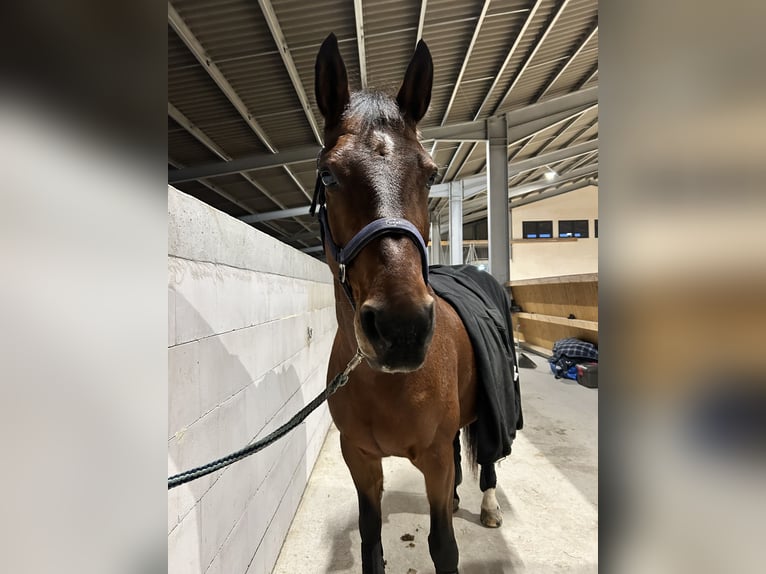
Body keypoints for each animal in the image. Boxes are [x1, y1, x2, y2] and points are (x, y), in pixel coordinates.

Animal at [312, 33, 516, 572]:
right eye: (329, 175)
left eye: (429, 174)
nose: (400, 329)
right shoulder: (360, 459)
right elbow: (370, 538)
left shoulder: (435, 461)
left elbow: (443, 546)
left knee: (488, 457)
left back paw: (488, 505)